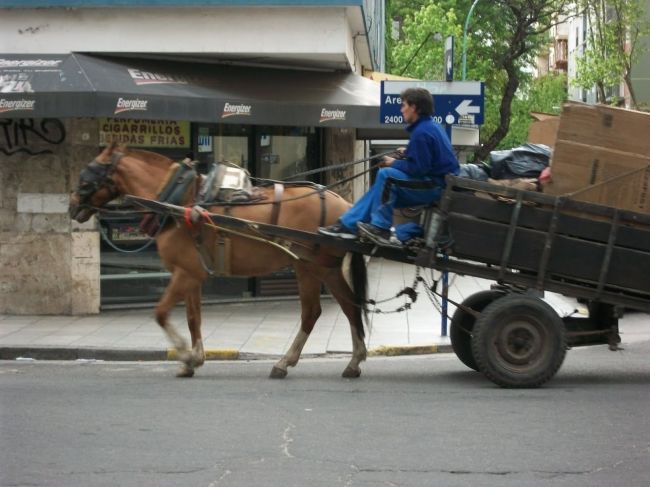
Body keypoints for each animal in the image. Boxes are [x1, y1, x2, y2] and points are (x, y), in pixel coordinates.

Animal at [69, 143, 368, 378]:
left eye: (88, 173)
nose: (72, 207)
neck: (180, 201)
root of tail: (343, 204)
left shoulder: (184, 273)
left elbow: (161, 313)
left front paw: (185, 354)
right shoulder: (192, 274)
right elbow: (193, 318)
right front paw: (194, 360)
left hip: (309, 266)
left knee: (312, 312)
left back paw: (285, 362)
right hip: (326, 268)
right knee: (350, 306)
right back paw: (354, 362)